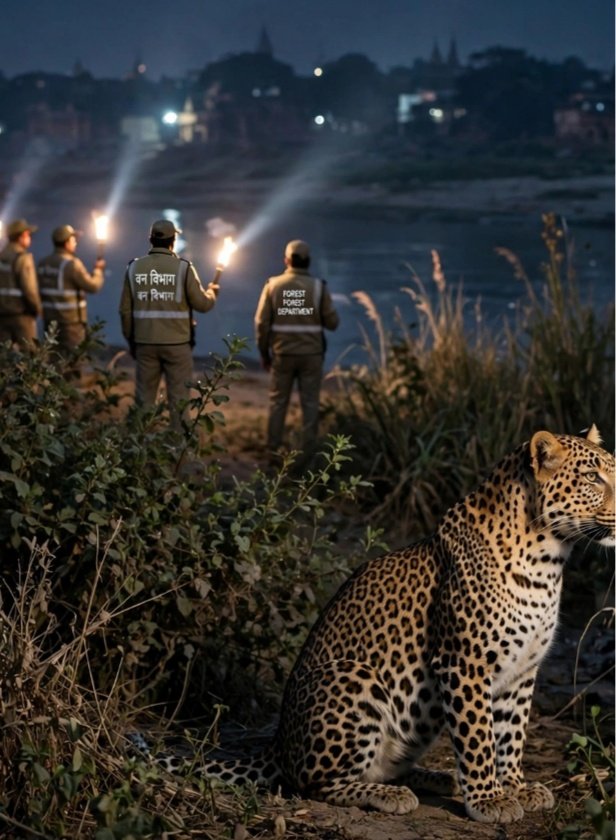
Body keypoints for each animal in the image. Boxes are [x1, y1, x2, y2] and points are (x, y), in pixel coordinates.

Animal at [132, 426, 615, 824]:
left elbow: (511, 735)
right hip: (353, 676)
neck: (548, 558)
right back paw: (389, 795)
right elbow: (478, 736)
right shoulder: (464, 663)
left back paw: (435, 778)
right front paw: (489, 799)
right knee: (312, 783)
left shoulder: (522, 670)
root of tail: (278, 743)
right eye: (593, 478)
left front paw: (513, 786)